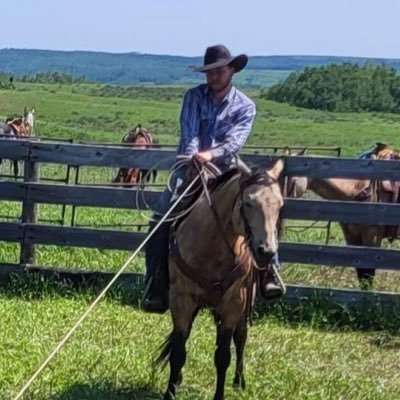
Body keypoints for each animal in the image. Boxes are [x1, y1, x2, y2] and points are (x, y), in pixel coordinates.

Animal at [155, 158, 284, 400]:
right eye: (248, 203)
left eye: (280, 204)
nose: (266, 252)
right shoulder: (181, 299)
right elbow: (178, 350)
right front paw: (171, 391)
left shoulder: (234, 303)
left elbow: (223, 356)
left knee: (241, 339)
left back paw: (239, 381)